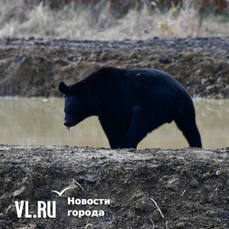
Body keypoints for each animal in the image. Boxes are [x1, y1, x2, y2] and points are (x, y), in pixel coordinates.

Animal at [58, 66, 202, 148]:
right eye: (64, 110)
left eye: (72, 110)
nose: (66, 123)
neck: (95, 94)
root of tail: (180, 94)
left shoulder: (110, 101)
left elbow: (113, 122)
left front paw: (115, 143)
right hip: (187, 109)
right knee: (190, 127)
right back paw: (196, 145)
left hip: (153, 105)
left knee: (140, 124)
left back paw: (124, 145)